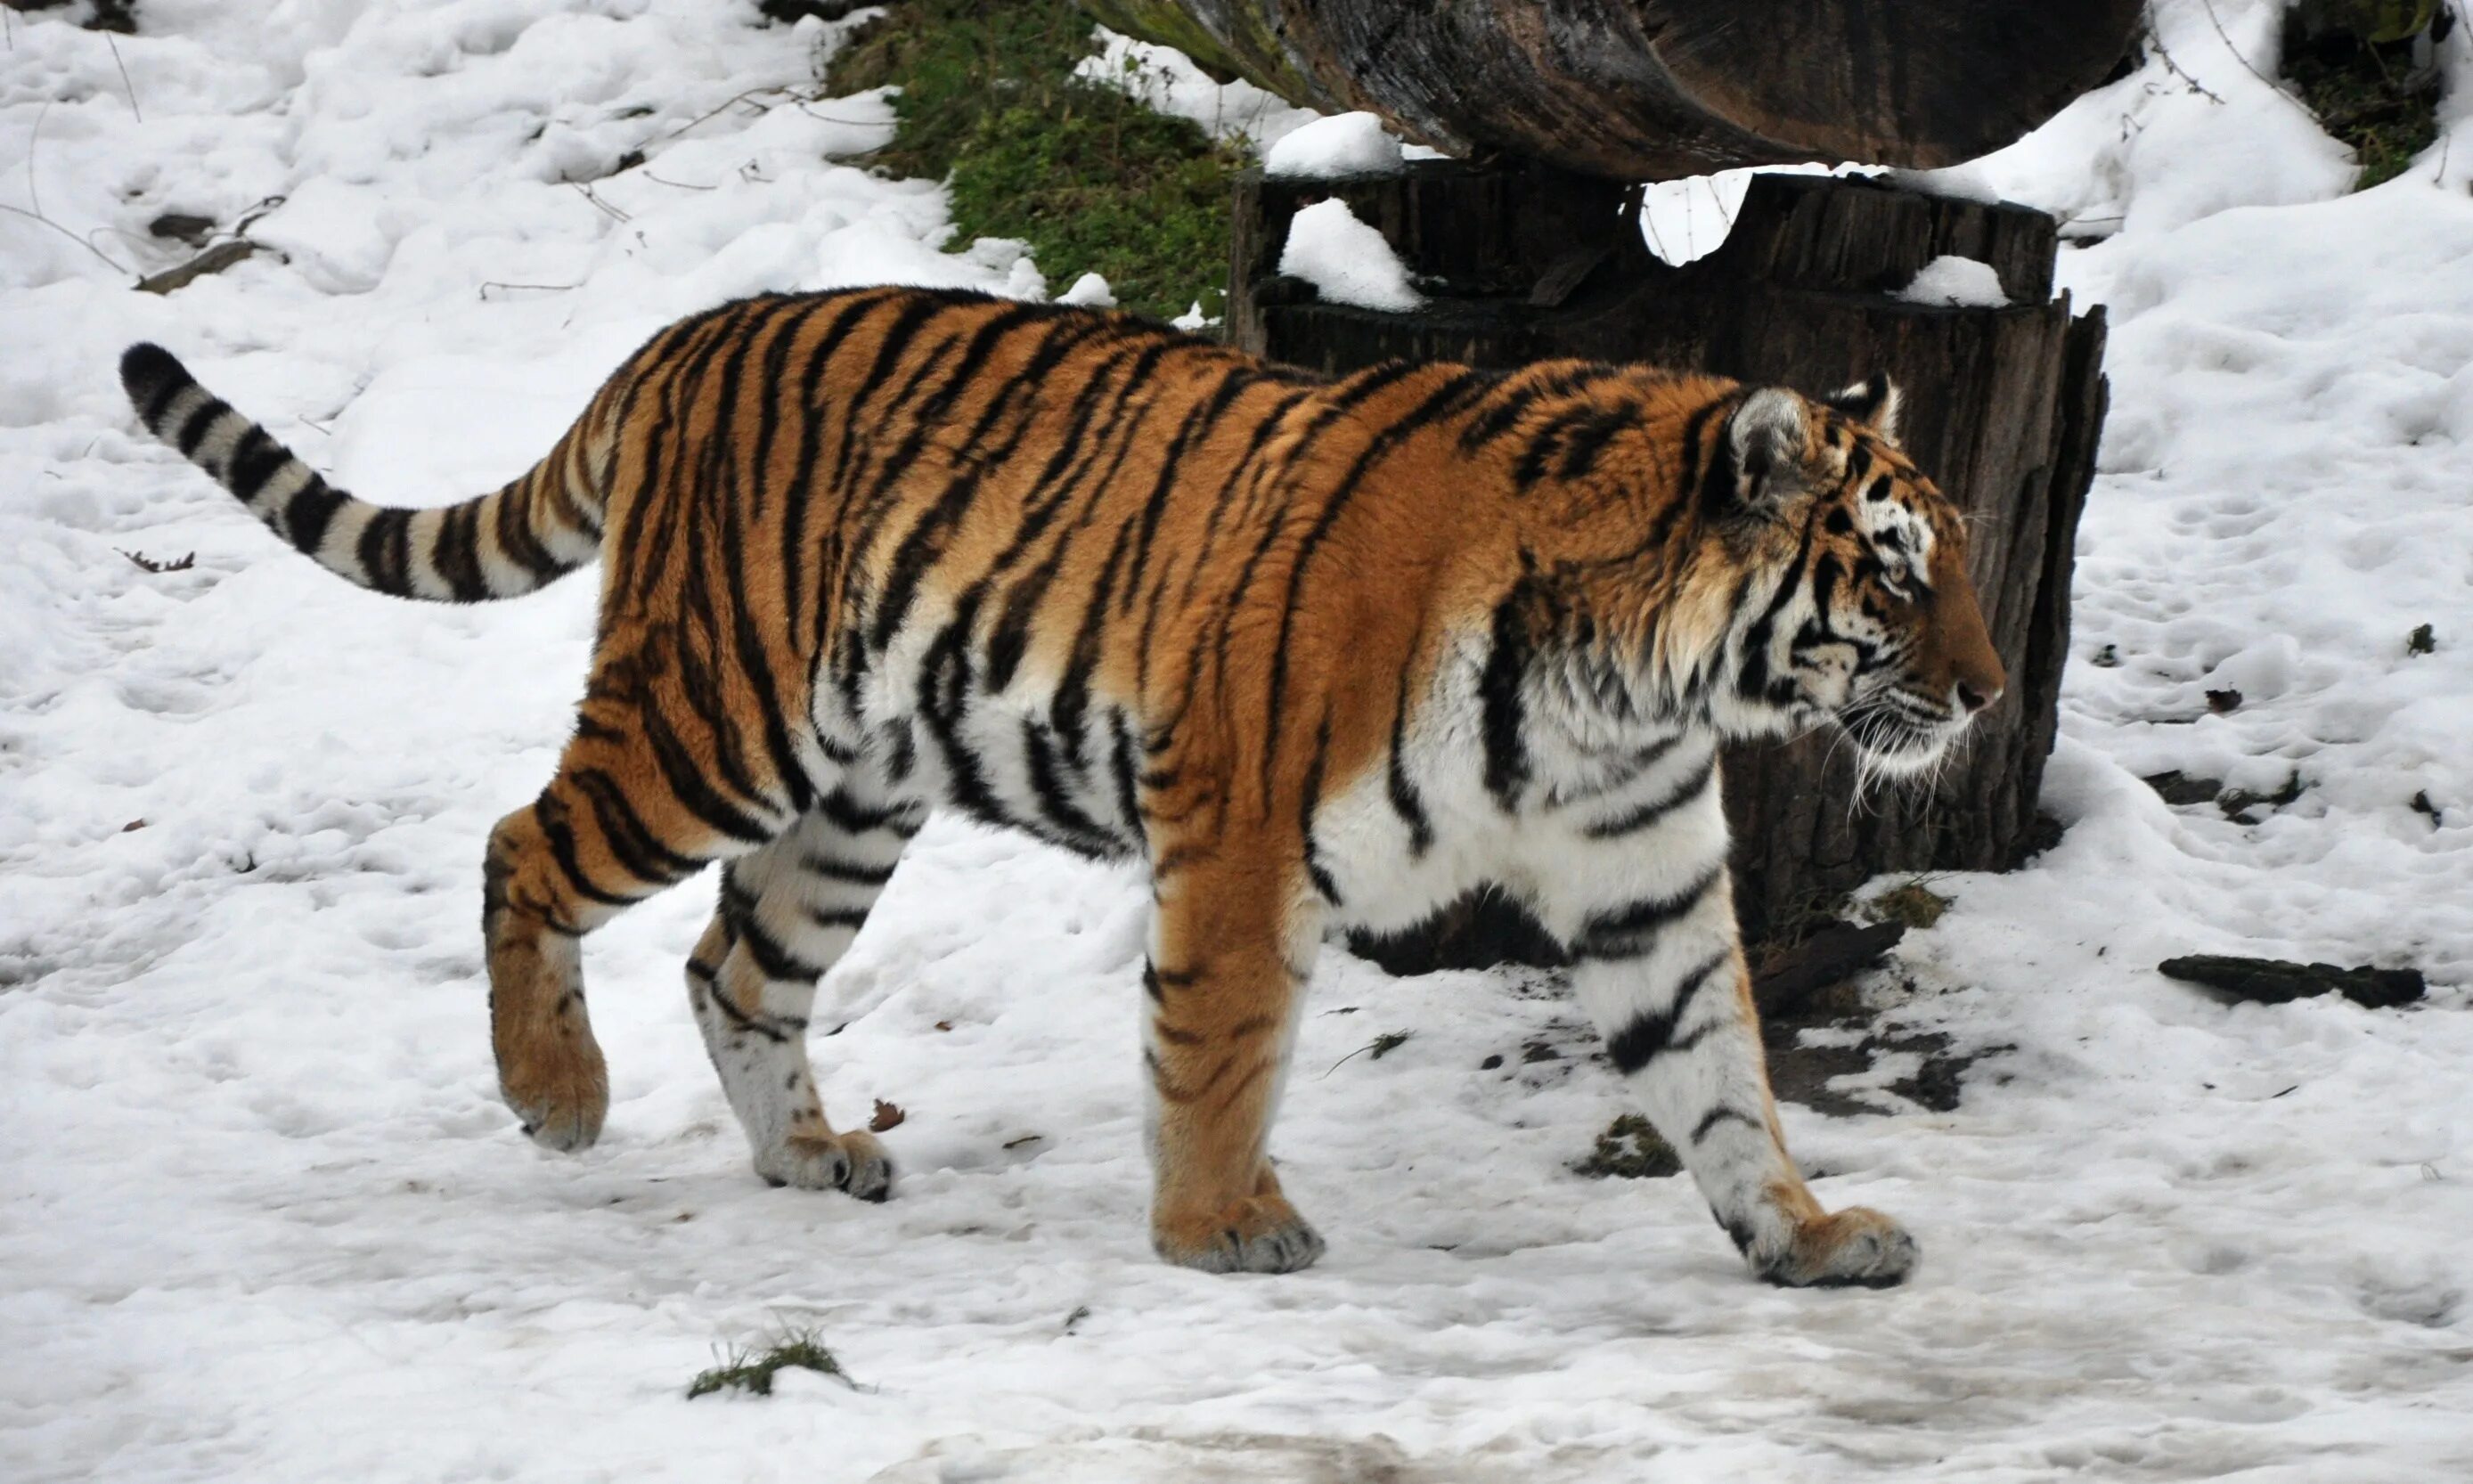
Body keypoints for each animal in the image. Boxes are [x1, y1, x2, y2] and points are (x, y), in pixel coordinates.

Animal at [120, 284, 2008, 1276]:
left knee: (735, 965)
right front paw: (1220, 1227)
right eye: (1898, 574)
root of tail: (682, 336)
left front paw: (1806, 1234)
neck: (1635, 685)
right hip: (716, 722)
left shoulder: (1642, 879)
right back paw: (556, 1093)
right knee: (525, 840)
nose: (1990, 695)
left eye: (1964, 564)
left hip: (854, 791)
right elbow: (1221, 1051)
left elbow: (1722, 1075)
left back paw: (812, 1158)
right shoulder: (1239, 835)